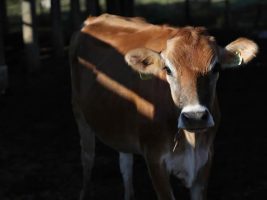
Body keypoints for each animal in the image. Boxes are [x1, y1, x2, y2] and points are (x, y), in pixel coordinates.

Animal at [69, 13, 260, 200]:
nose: (195, 117)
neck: (190, 140)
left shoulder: (205, 159)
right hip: (79, 114)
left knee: (125, 164)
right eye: (167, 69)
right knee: (87, 158)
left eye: (216, 68)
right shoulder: (155, 160)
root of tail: (94, 18)